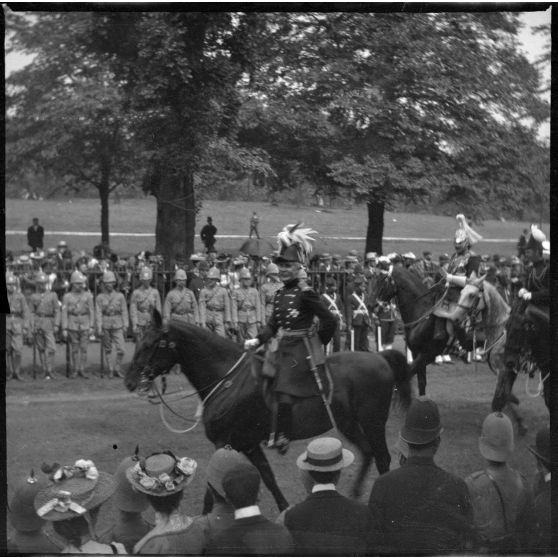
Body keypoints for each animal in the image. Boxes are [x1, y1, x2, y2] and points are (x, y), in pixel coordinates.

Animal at [128, 310, 416, 512]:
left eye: (151, 343)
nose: (130, 378)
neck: (226, 378)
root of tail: (380, 357)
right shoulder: (248, 443)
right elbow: (268, 477)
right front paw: (284, 509)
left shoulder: (224, 442)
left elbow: (212, 486)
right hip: (349, 423)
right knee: (368, 453)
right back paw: (355, 494)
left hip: (372, 421)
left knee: (382, 458)